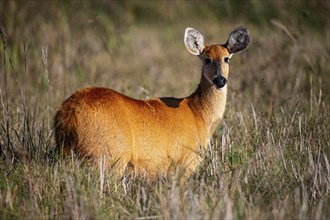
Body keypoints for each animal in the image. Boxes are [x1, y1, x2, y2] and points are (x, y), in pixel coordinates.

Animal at [54, 26, 250, 176]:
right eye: (207, 59)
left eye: (226, 59)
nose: (220, 80)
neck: (198, 114)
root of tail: (69, 112)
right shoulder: (187, 160)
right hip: (109, 155)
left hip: (67, 152)